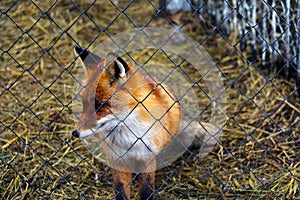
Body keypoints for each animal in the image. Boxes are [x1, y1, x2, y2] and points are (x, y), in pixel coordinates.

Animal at [71, 46, 219, 199]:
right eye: (84, 104)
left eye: (100, 106)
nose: (75, 133)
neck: (128, 139)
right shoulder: (117, 159)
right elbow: (121, 191)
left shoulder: (148, 157)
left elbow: (147, 190)